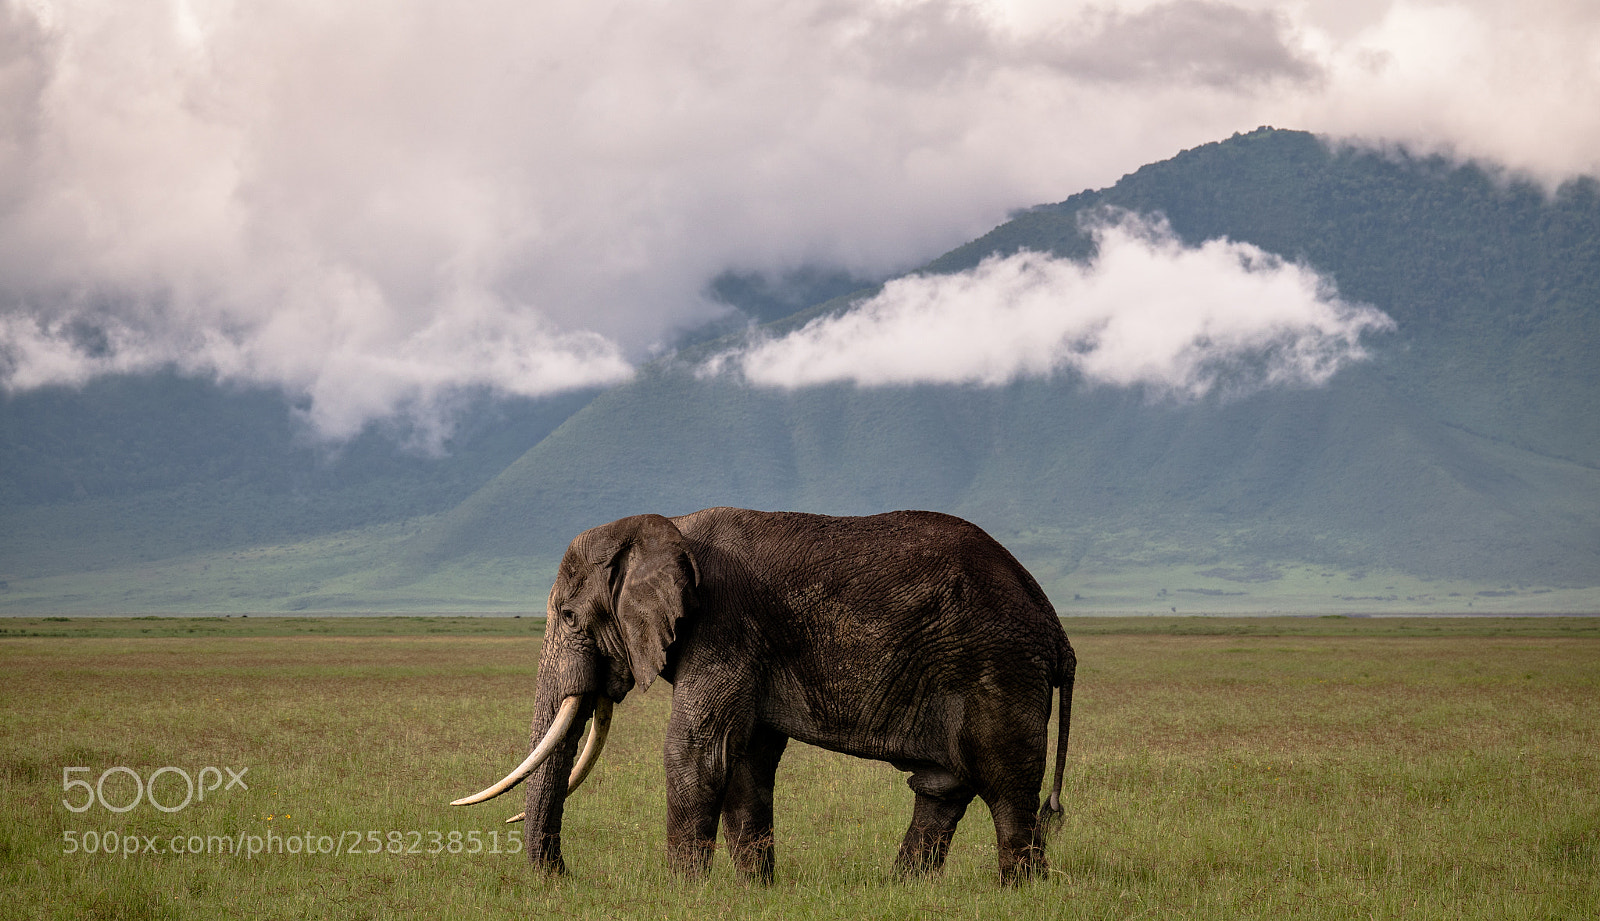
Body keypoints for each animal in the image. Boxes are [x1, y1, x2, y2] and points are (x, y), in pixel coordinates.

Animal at [452, 507, 1076, 884]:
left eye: (567, 616)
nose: (561, 876)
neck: (669, 527)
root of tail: (1055, 627)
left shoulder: (724, 624)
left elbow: (696, 751)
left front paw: (682, 894)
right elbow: (745, 761)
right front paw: (755, 891)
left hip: (998, 668)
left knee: (1006, 788)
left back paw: (1018, 894)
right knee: (942, 788)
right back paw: (904, 891)